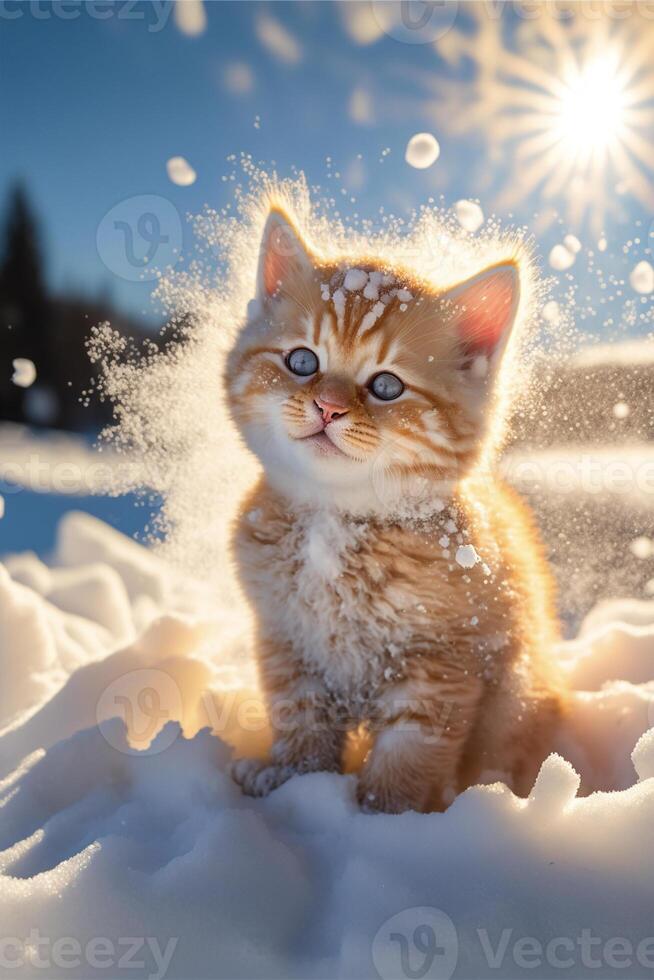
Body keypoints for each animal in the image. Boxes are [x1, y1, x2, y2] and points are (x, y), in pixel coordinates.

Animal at [224, 207, 564, 812]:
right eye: (302, 361)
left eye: (385, 386)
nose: (328, 407)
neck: (334, 522)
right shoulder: (287, 641)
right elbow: (301, 723)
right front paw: (293, 785)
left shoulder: (440, 664)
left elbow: (410, 755)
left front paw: (381, 816)